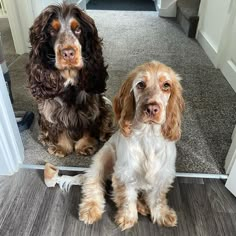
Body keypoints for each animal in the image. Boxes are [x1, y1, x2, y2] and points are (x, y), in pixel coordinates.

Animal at [79, 61, 184, 230]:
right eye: (140, 84)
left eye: (166, 85)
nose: (151, 108)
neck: (148, 136)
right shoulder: (125, 173)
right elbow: (127, 197)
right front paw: (127, 217)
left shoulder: (163, 174)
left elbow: (158, 198)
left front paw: (163, 215)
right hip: (103, 158)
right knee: (93, 183)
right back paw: (90, 210)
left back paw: (143, 206)